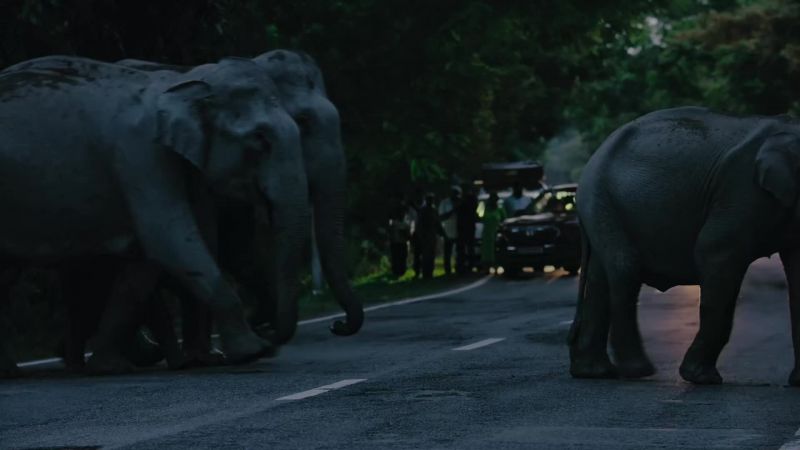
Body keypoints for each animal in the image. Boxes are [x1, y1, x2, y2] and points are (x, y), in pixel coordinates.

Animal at [0, 55, 310, 374]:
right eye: (260, 139)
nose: (271, 337)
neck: (182, 82)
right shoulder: (141, 158)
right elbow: (170, 243)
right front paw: (253, 351)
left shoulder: (186, 164)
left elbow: (151, 262)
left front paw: (112, 366)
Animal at [569, 106, 800, 386]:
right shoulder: (742, 192)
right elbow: (713, 251)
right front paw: (702, 378)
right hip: (603, 200)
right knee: (624, 269)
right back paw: (638, 371)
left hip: (602, 206)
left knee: (599, 279)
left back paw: (594, 372)